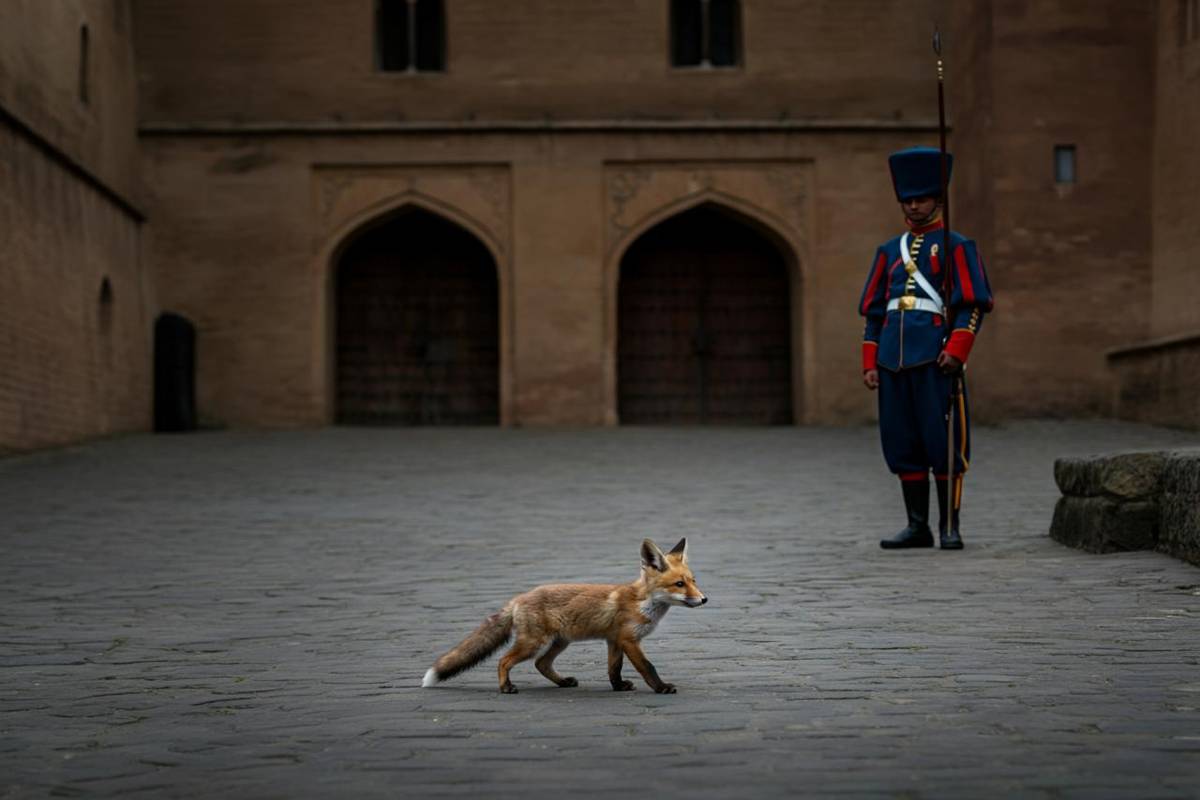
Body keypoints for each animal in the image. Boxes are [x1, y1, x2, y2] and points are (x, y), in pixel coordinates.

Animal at [421, 537, 707, 694]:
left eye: (693, 581)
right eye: (679, 584)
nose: (704, 599)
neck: (642, 602)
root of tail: (518, 598)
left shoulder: (614, 640)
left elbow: (613, 668)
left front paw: (618, 686)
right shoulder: (629, 640)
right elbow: (648, 667)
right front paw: (661, 688)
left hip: (559, 642)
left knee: (541, 664)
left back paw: (562, 682)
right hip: (534, 643)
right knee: (504, 660)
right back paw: (506, 687)